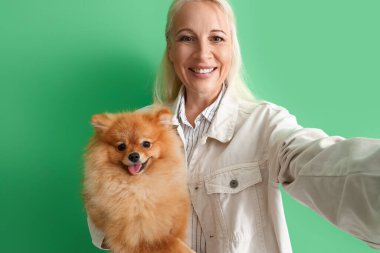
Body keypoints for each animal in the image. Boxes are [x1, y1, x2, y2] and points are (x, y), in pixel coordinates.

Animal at [82, 106, 193, 253]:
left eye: (146, 144)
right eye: (121, 146)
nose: (134, 156)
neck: (139, 186)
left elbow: (176, 236)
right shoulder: (137, 236)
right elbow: (171, 243)